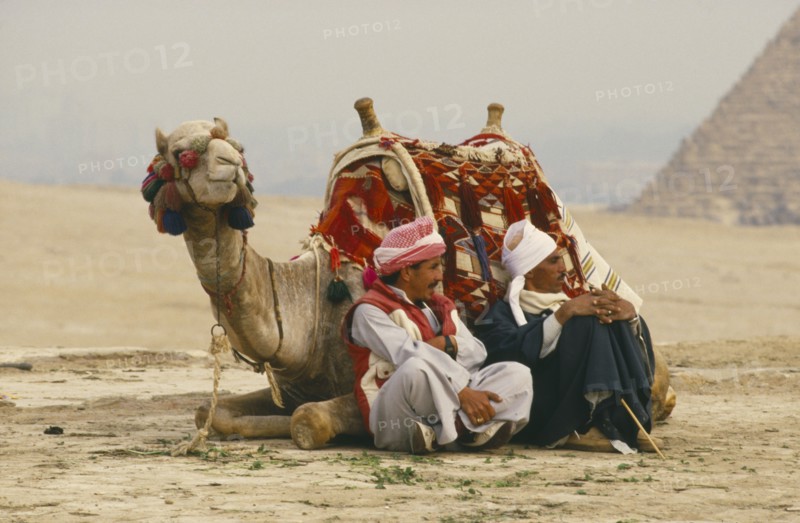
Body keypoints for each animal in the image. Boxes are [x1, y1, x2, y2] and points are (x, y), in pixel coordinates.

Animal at [143, 100, 675, 451]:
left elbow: (308, 422)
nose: (230, 167)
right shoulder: (291, 386)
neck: (306, 308)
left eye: (235, 146)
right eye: (182, 153)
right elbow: (212, 412)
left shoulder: (354, 391)